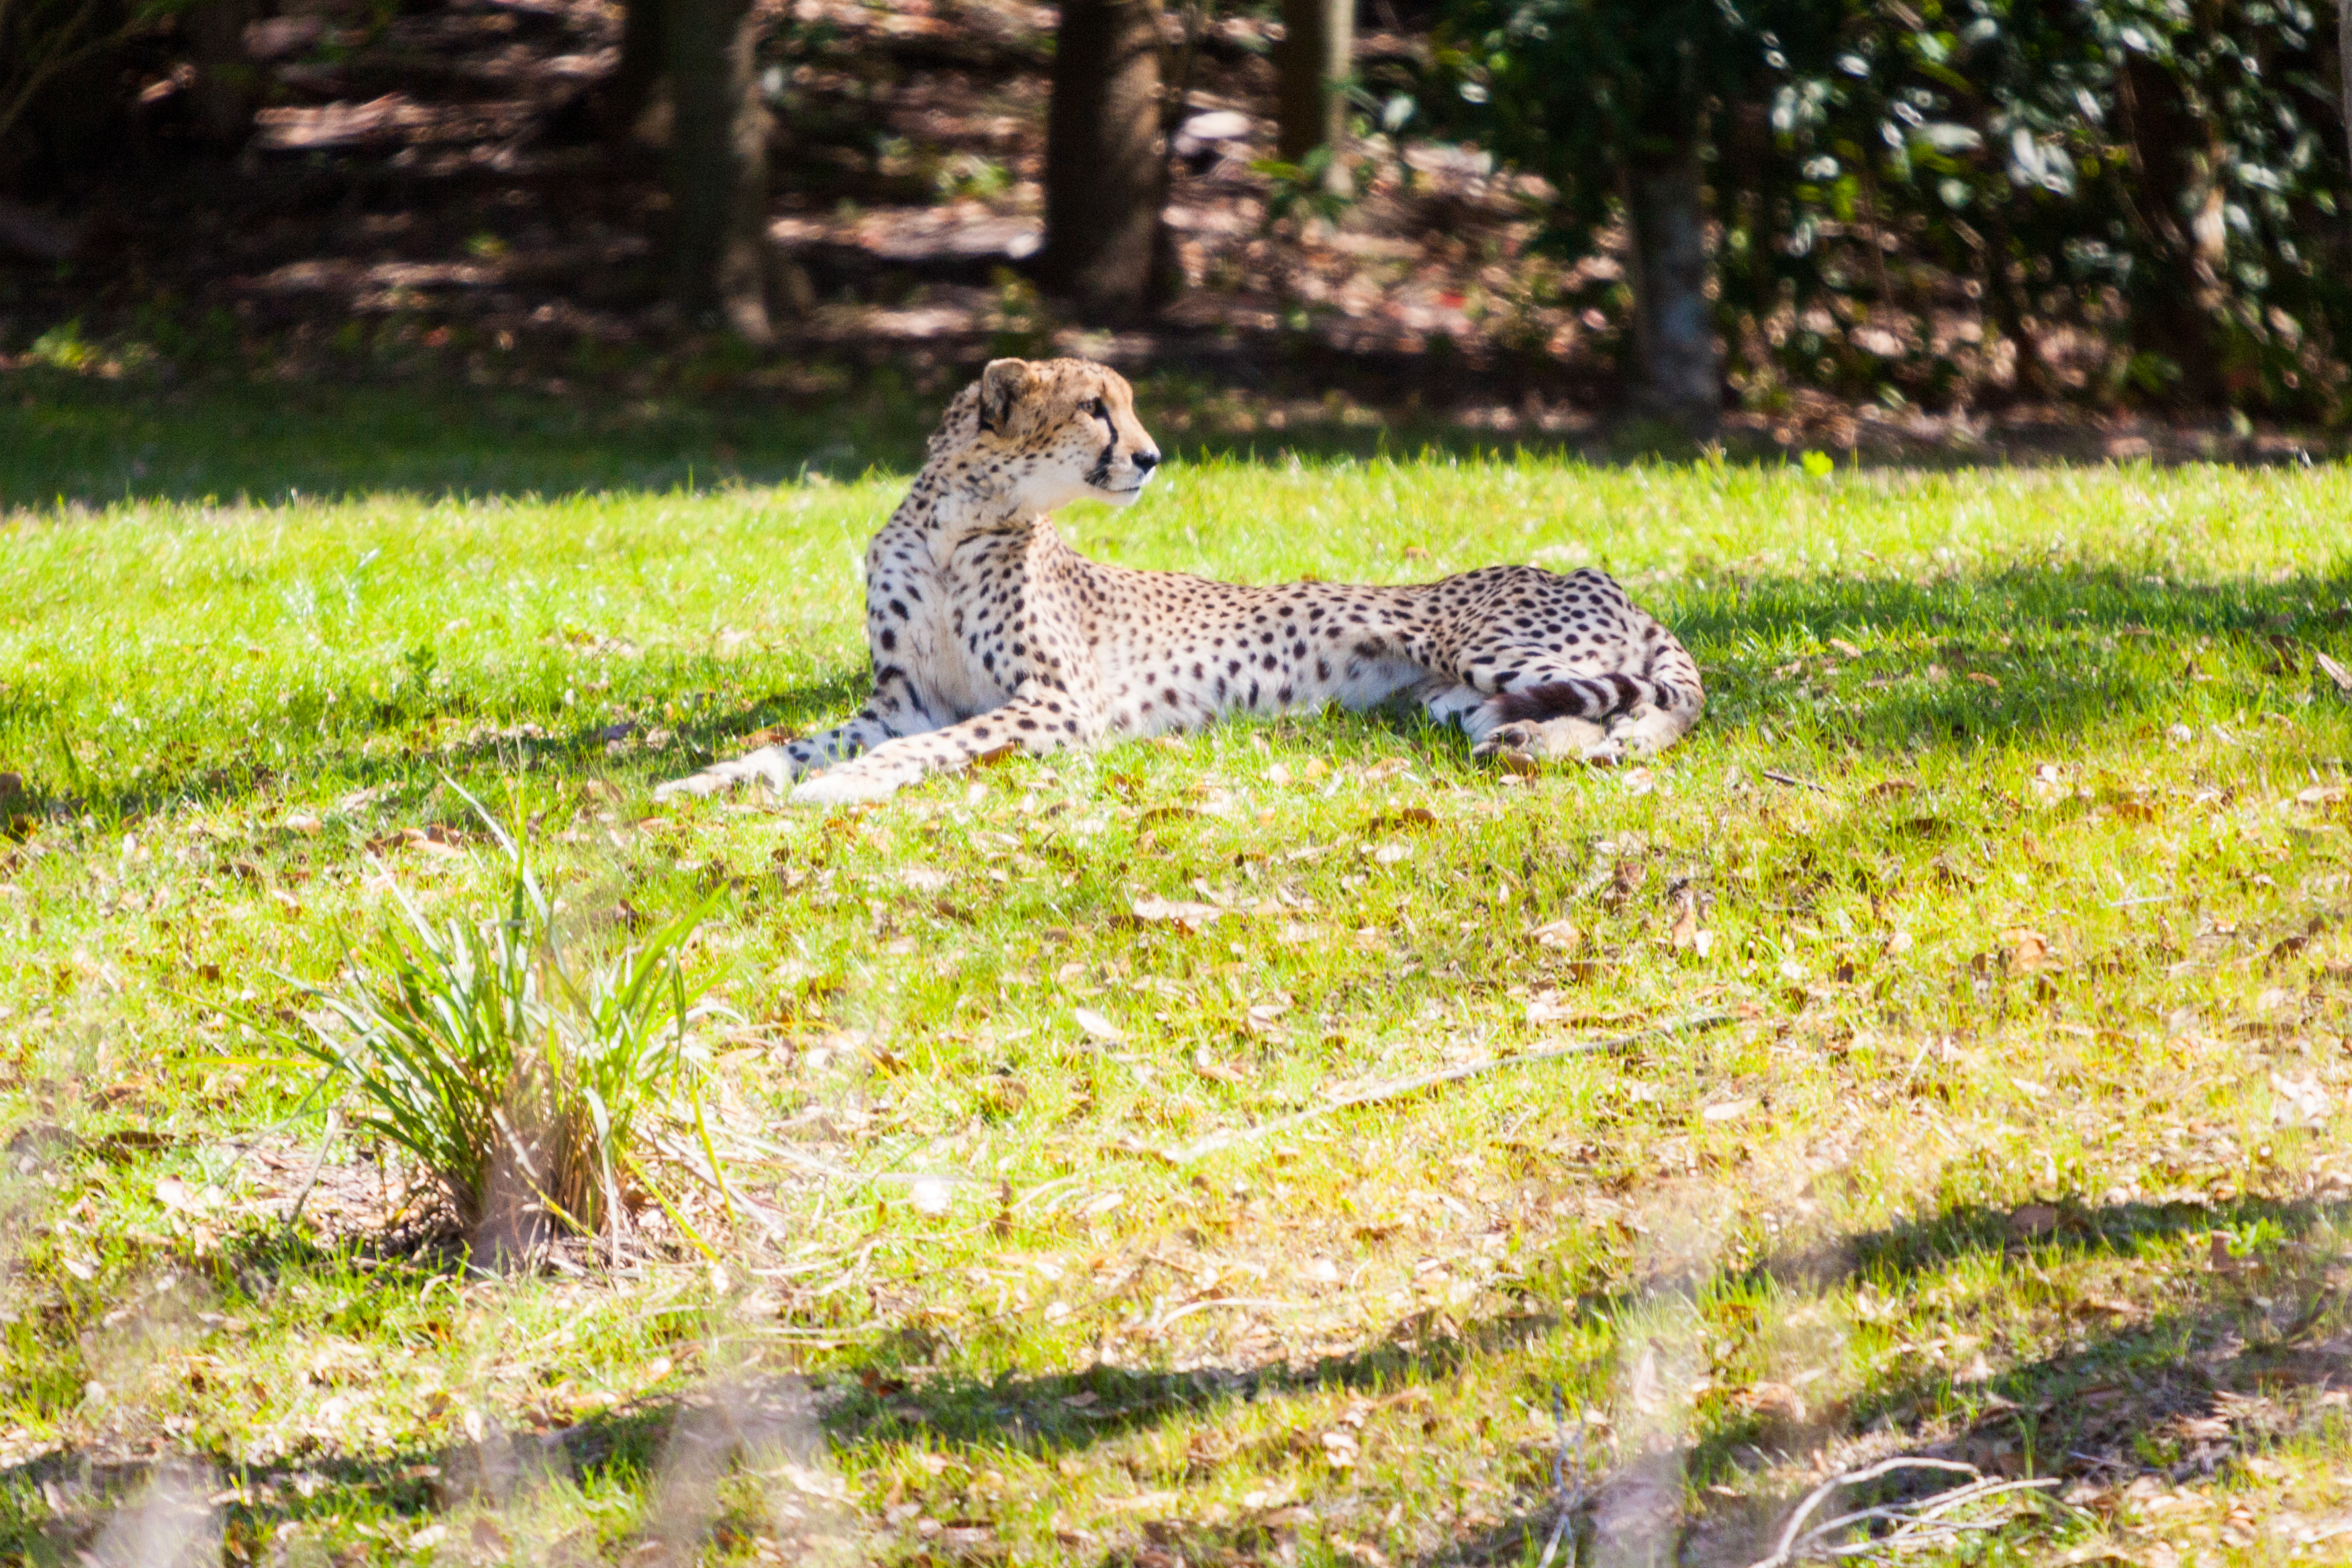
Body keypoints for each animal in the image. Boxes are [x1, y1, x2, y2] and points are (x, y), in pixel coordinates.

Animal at [654, 357, 1702, 808]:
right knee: (1573, 713)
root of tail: (1599, 576)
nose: (1153, 456)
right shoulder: (902, 698)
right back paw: (1530, 745)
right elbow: (791, 744)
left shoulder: (1053, 705)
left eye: (1125, 403)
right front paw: (705, 780)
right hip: (1451, 694)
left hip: (1483, 645)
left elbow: (925, 750)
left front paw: (843, 786)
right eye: (1094, 407)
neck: (961, 524)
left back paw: (1584, 746)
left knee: (1662, 711)